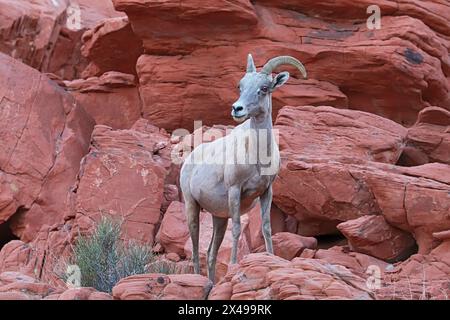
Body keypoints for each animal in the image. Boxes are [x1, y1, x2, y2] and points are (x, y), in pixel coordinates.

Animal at [179, 55, 306, 282]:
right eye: (241, 86)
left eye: (264, 88)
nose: (237, 109)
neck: (257, 156)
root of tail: (188, 162)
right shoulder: (235, 190)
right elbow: (237, 229)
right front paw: (233, 265)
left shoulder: (267, 191)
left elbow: (266, 227)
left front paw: (272, 257)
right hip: (191, 207)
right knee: (195, 249)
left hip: (219, 218)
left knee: (210, 253)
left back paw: (212, 283)